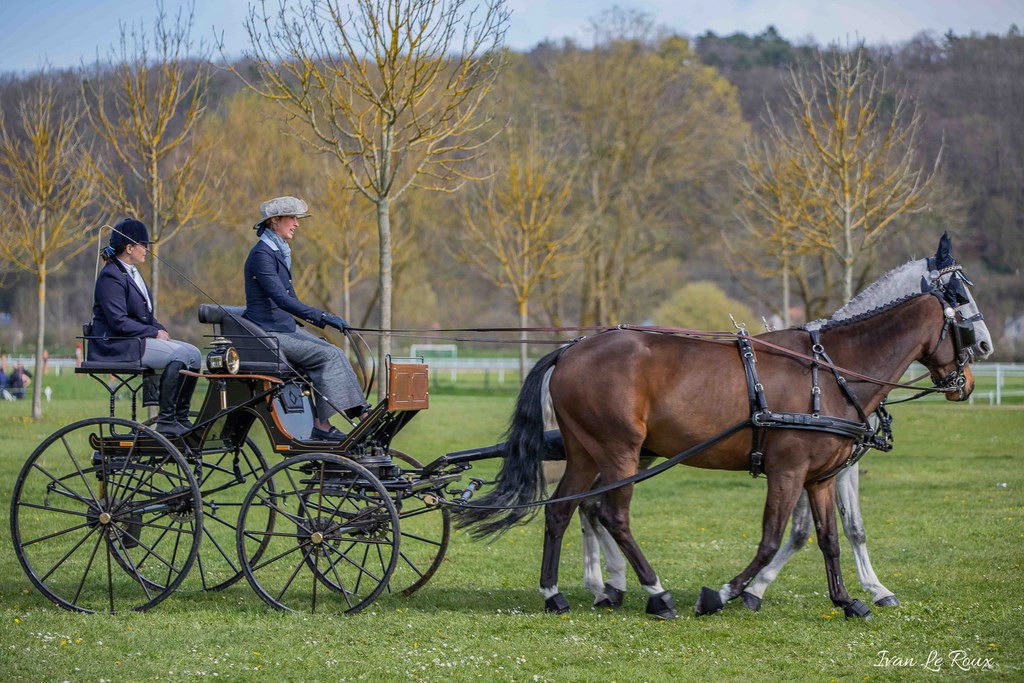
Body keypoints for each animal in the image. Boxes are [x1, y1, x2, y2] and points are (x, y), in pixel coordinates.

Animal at [456, 237, 983, 622]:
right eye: (960, 299)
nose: (977, 362)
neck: (831, 370)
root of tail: (571, 349)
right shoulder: (787, 472)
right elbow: (774, 537)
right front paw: (728, 593)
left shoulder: (820, 477)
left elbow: (829, 538)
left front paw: (847, 600)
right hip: (620, 450)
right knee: (612, 514)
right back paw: (654, 593)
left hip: (589, 453)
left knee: (564, 510)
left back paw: (559, 593)